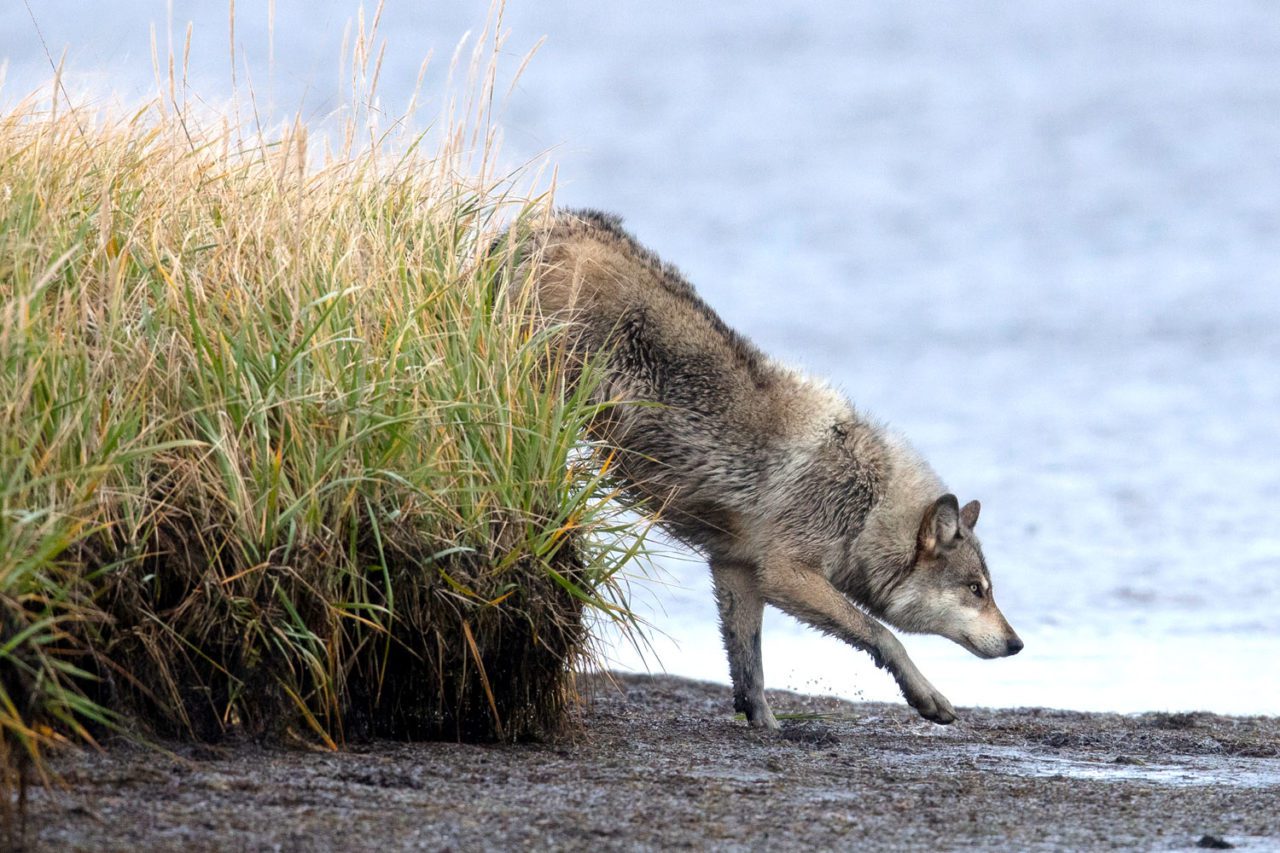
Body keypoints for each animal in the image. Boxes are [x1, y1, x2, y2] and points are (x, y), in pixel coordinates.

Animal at [506, 209, 1022, 727]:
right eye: (977, 590)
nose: (1018, 644)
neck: (867, 507)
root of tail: (549, 220)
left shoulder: (737, 568)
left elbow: (749, 664)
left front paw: (765, 724)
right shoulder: (785, 574)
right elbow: (883, 634)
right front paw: (926, 695)